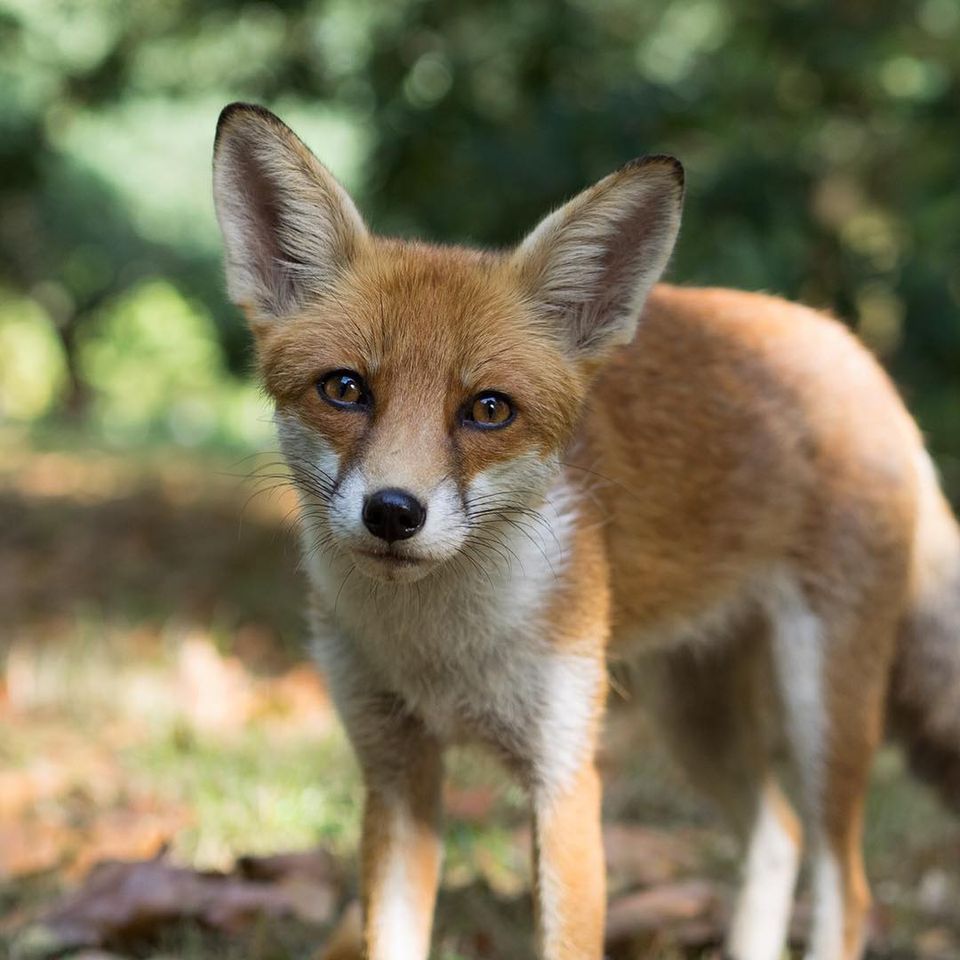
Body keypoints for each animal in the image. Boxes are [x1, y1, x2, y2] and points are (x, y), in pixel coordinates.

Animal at [211, 102, 960, 960]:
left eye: (488, 409)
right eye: (344, 389)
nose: (394, 512)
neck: (441, 652)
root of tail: (856, 352)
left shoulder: (566, 776)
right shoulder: (394, 769)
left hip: (823, 711)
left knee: (845, 882)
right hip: (690, 716)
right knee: (780, 835)